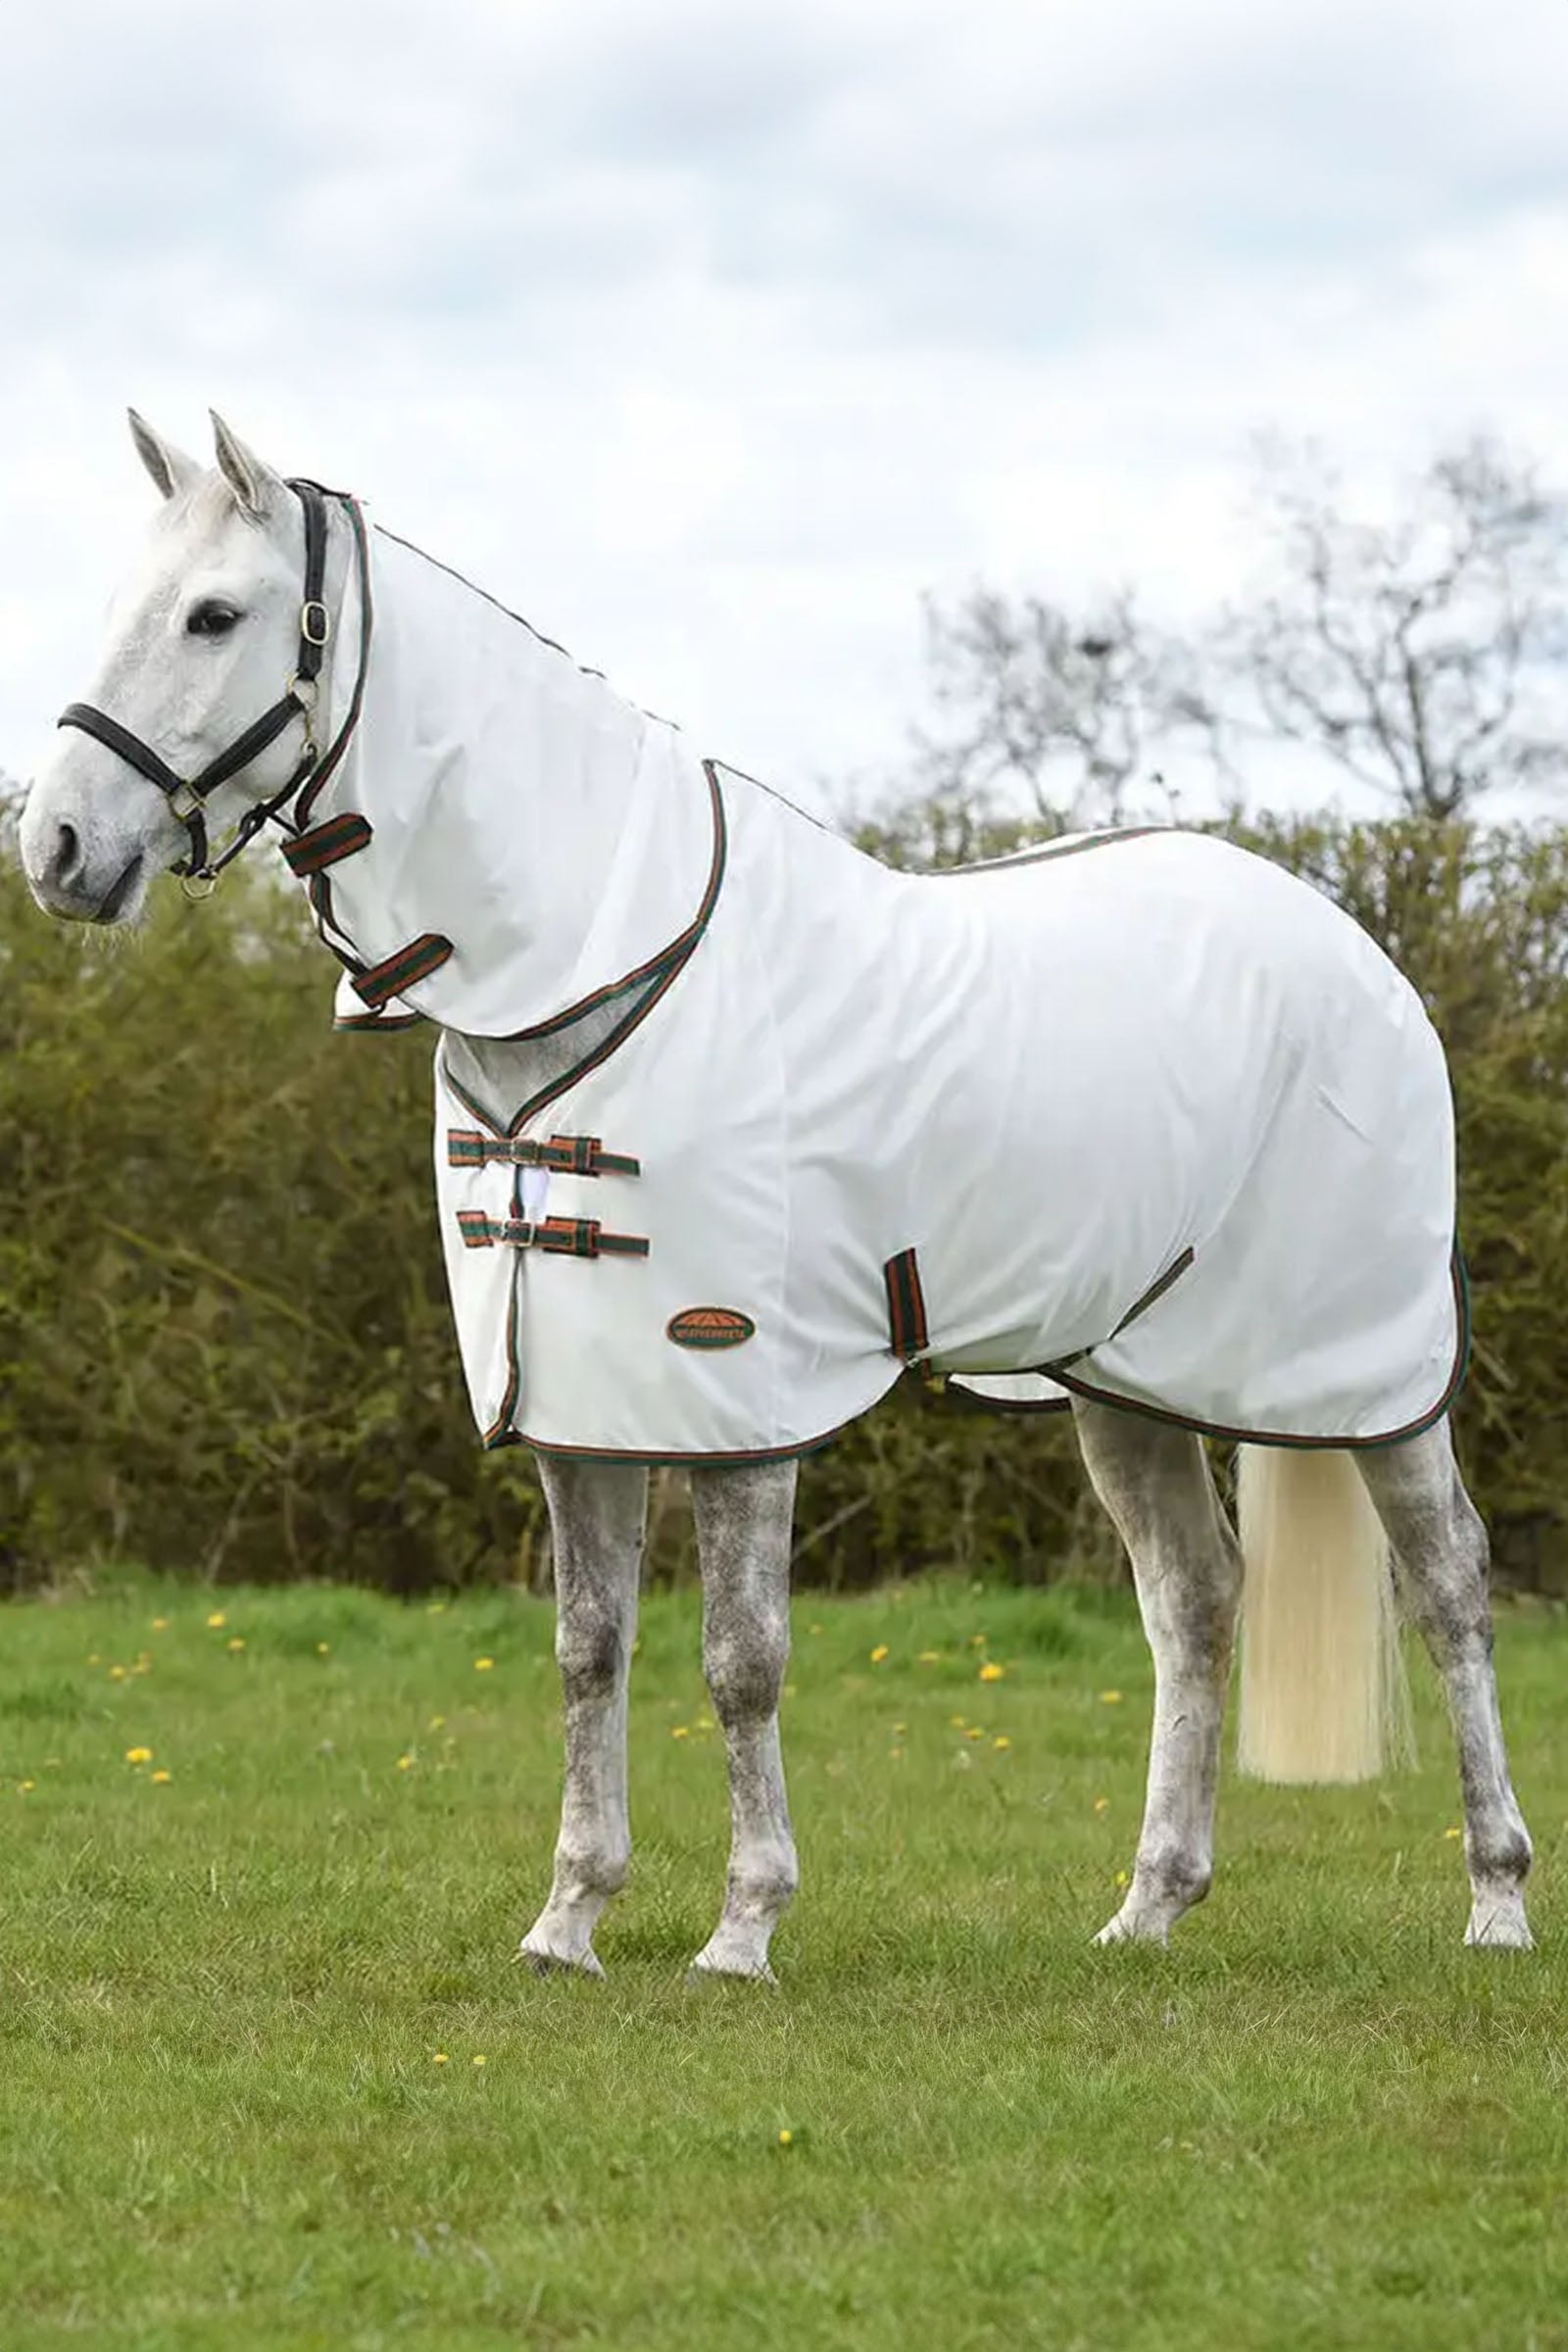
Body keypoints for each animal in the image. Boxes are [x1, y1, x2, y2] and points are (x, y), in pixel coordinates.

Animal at [18, 410, 1534, 1977]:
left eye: (213, 616)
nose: (56, 846)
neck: (600, 964)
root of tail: (1353, 949)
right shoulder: (578, 1397)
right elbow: (588, 1651)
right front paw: (568, 1920)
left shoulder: (733, 1392)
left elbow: (740, 1660)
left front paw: (742, 1928)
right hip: (1124, 1377)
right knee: (1194, 1598)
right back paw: (1148, 1907)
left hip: (1369, 1373)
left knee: (1449, 1585)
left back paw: (1494, 1902)